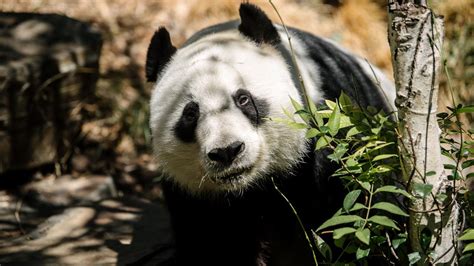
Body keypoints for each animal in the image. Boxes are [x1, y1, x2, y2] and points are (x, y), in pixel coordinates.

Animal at [147, 2, 396, 266]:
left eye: (243, 99)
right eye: (191, 113)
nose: (227, 151)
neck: (253, 187)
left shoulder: (332, 131)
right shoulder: (194, 196)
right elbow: (211, 245)